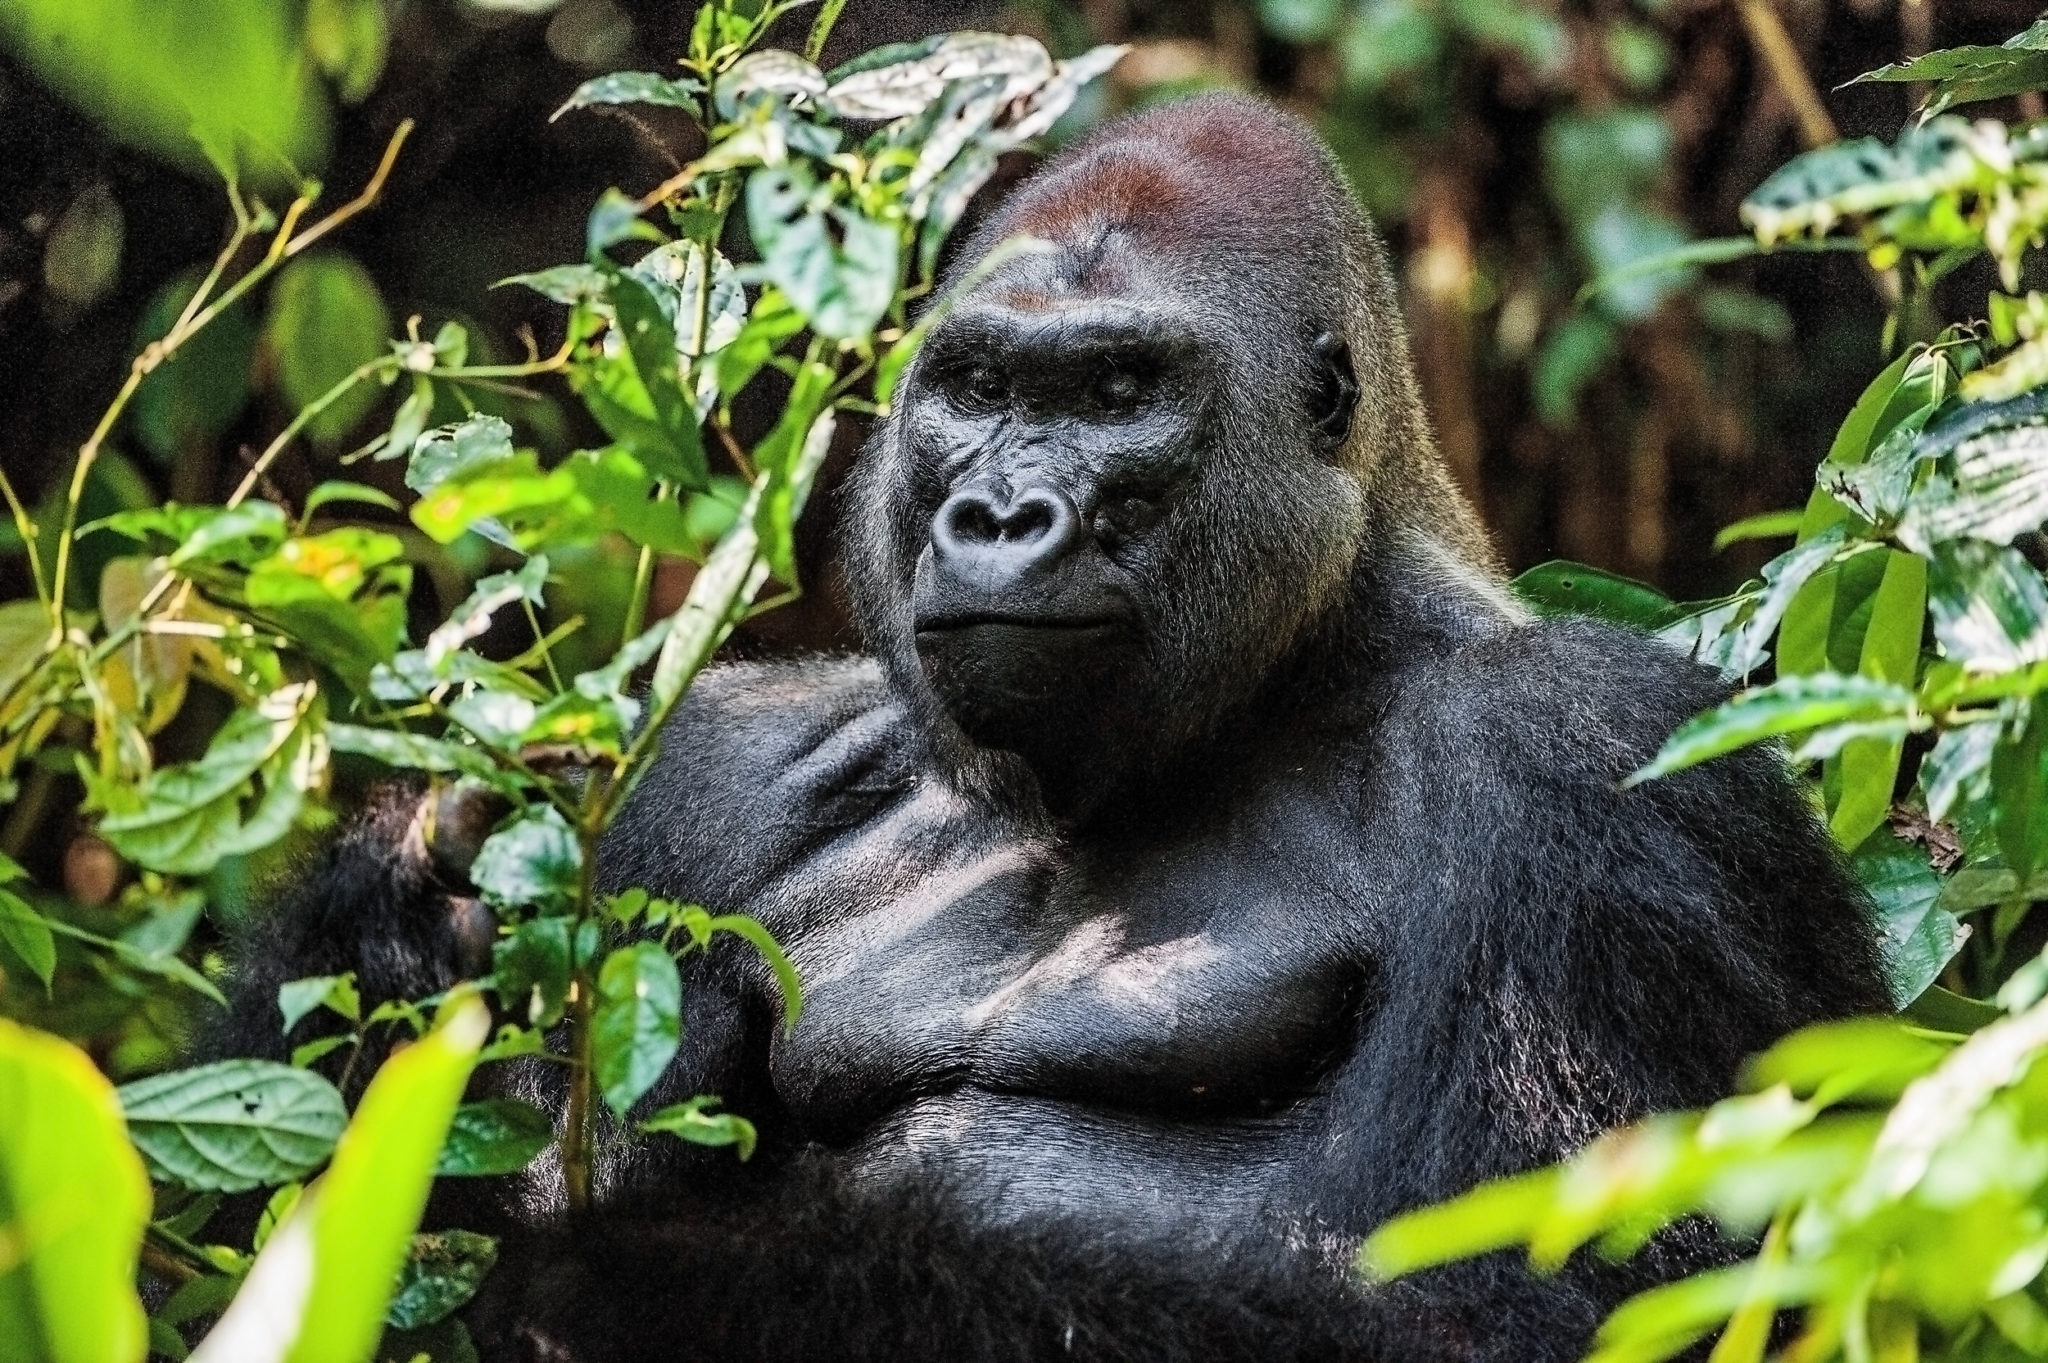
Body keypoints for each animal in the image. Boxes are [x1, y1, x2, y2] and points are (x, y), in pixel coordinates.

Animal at [220, 95, 1884, 1358]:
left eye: (1117, 389)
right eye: (972, 385)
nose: (1002, 515)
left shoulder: (1594, 751)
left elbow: (1524, 1309)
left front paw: (640, 1281)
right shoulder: (706, 774)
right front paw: (391, 923)